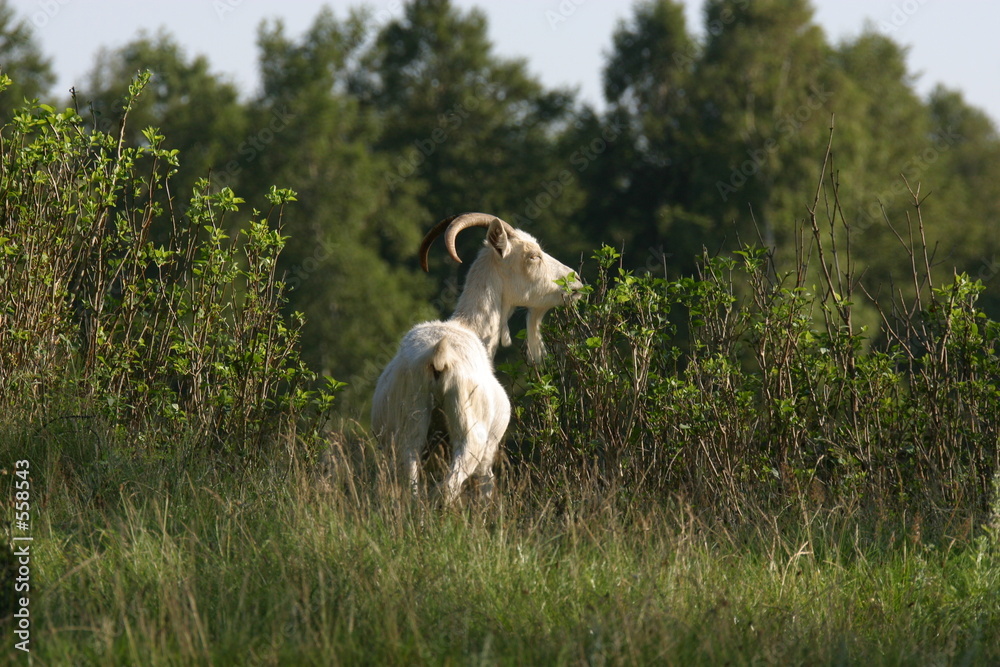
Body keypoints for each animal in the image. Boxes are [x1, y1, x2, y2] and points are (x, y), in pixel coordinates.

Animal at [372, 215, 584, 506]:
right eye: (533, 256)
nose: (576, 282)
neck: (469, 328)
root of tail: (439, 355)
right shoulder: (489, 452)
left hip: (408, 430)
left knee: (412, 483)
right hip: (471, 437)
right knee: (447, 488)